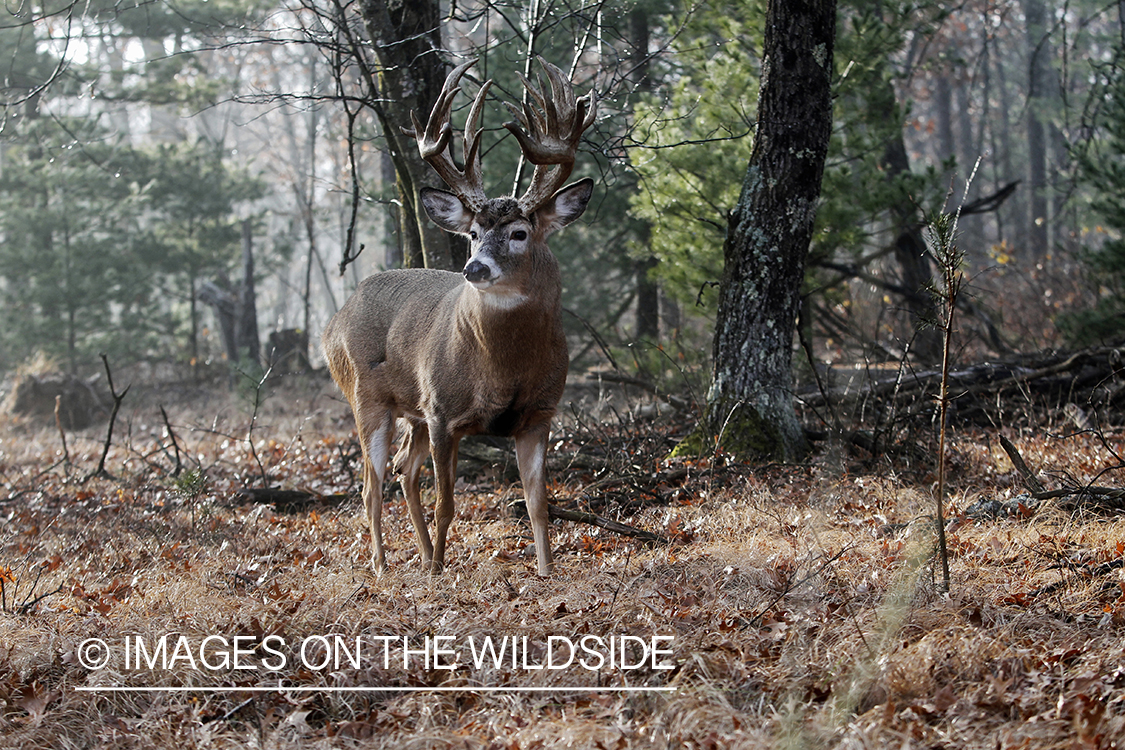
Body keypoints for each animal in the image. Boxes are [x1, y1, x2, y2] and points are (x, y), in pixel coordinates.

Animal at [321, 58, 594, 580]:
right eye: (471, 233)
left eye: (519, 232)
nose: (474, 268)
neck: (504, 369)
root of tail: (331, 323)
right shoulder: (444, 412)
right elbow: (446, 504)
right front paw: (438, 573)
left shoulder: (538, 415)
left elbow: (538, 504)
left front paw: (547, 572)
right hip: (368, 399)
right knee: (371, 484)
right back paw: (384, 564)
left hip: (413, 412)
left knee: (403, 472)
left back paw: (423, 554)